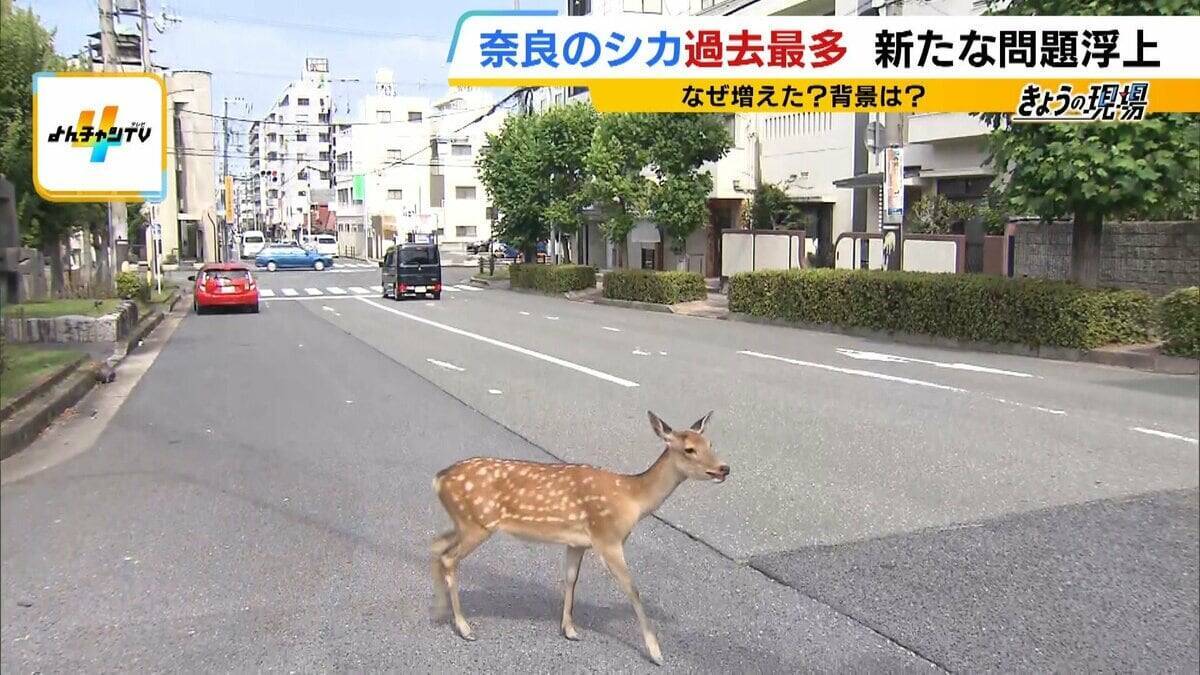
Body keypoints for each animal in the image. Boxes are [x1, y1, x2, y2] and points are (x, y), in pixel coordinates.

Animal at [430, 410, 729, 665]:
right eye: (689, 449)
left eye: (710, 442)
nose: (724, 468)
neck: (632, 499)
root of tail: (439, 479)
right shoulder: (608, 538)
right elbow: (632, 589)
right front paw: (656, 653)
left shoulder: (577, 542)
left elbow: (571, 579)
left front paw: (569, 630)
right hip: (477, 523)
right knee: (448, 557)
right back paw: (464, 627)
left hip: (464, 523)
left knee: (436, 545)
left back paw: (439, 611)